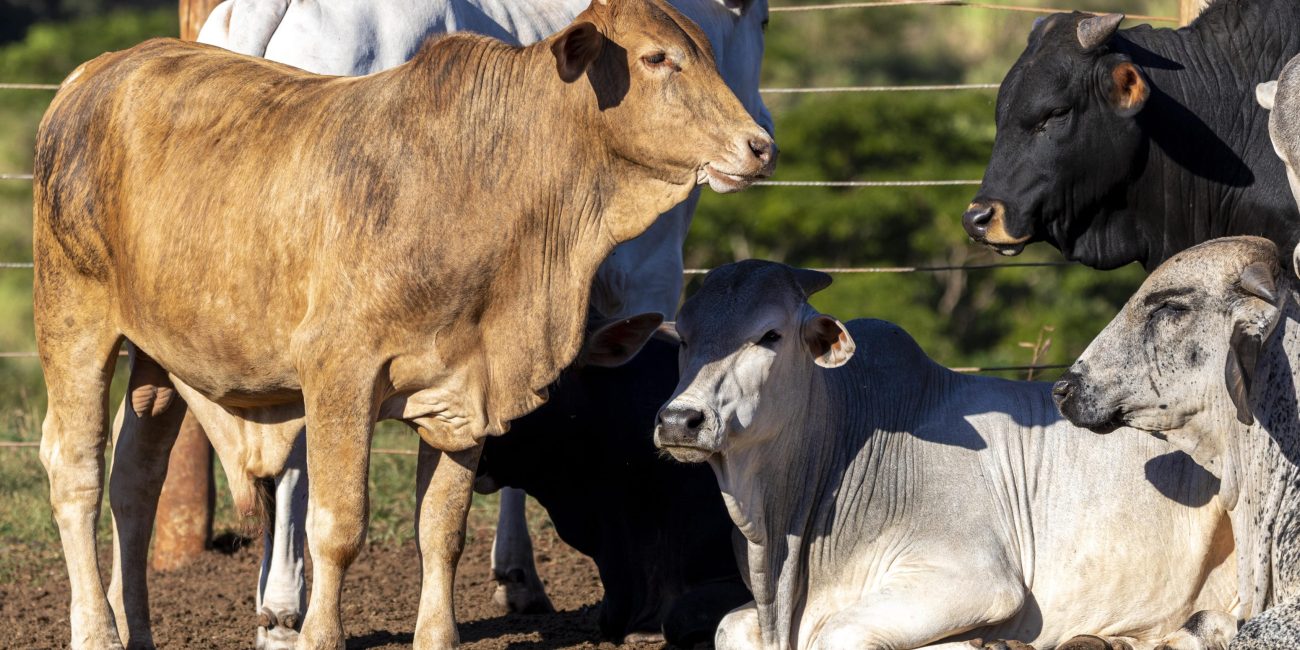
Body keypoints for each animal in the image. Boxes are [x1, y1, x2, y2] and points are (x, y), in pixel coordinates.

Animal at [660, 260, 1237, 650]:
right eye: (685, 339)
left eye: (770, 335)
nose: (679, 421)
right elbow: (729, 626)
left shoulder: (978, 578)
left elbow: (836, 633)